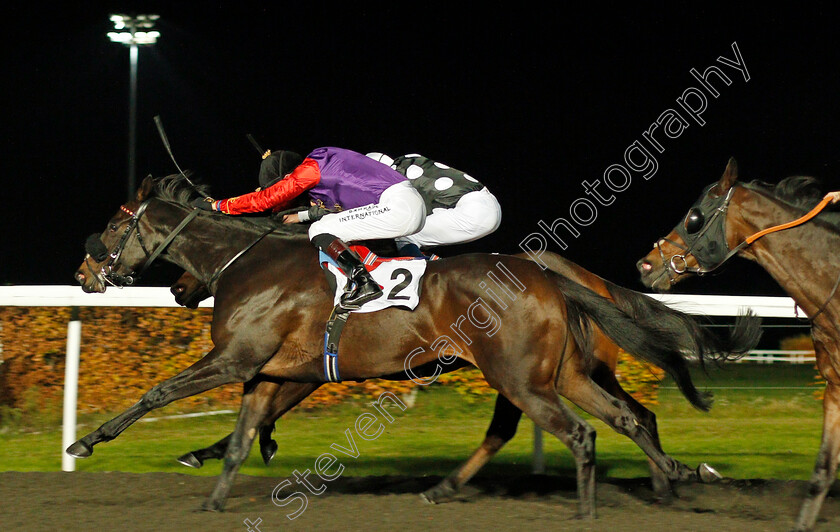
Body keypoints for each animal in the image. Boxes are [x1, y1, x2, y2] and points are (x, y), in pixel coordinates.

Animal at [164, 249, 728, 502]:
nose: (178, 287)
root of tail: (560, 276)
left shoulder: (303, 365)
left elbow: (261, 406)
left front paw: (223, 449)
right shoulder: (292, 364)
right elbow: (258, 410)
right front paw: (234, 450)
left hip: (524, 374)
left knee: (557, 423)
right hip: (556, 374)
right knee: (631, 416)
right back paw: (672, 476)